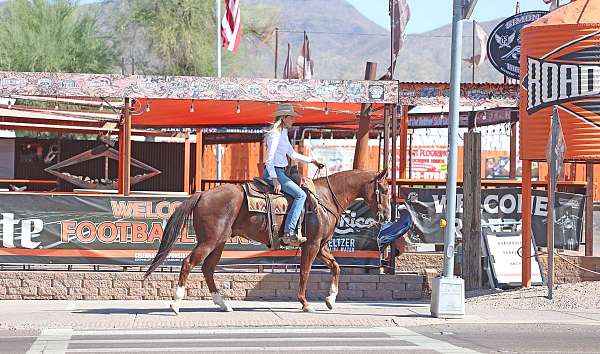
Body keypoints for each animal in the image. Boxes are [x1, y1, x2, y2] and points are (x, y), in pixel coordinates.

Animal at [144, 169, 392, 312]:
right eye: (383, 188)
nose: (387, 216)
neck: (324, 198)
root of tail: (203, 193)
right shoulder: (311, 245)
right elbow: (305, 272)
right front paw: (304, 303)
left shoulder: (320, 246)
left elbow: (336, 266)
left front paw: (331, 299)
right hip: (209, 241)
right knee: (188, 263)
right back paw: (176, 303)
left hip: (219, 242)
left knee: (208, 268)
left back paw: (223, 304)